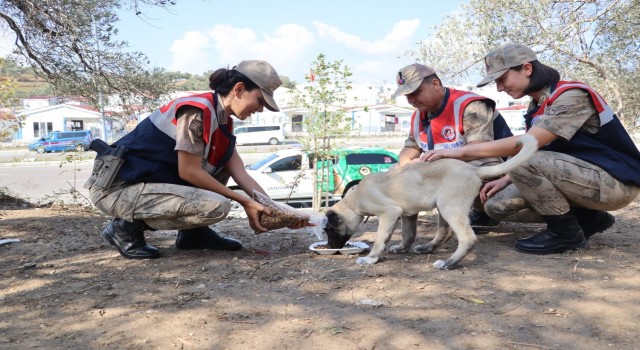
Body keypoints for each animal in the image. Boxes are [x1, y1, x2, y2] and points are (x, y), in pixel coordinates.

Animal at [324, 133, 540, 270]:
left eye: (329, 229)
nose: (328, 248)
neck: (354, 200)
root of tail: (474, 170)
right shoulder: (408, 214)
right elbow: (408, 235)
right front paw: (401, 248)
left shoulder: (389, 213)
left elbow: (379, 239)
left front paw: (370, 258)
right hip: (443, 207)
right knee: (445, 233)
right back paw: (427, 249)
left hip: (448, 207)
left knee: (467, 238)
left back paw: (448, 264)